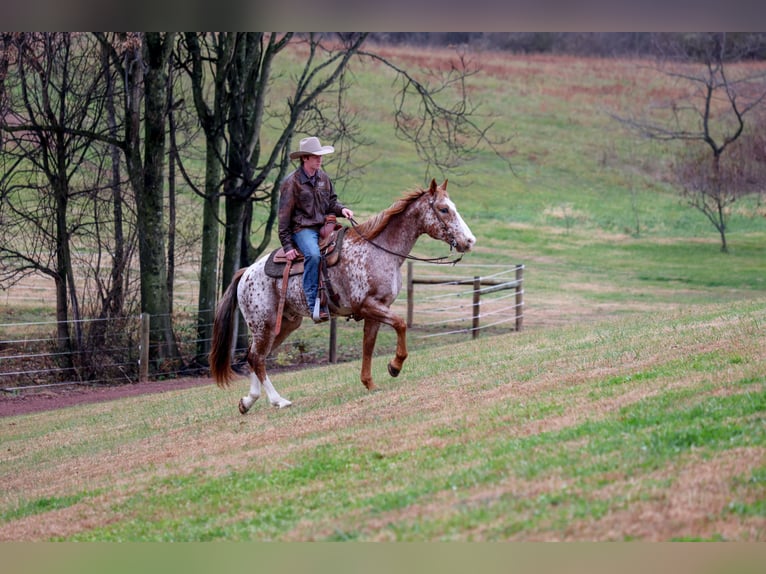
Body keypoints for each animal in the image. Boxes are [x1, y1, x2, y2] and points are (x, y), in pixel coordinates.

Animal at [209, 179, 476, 414]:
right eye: (444, 209)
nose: (469, 241)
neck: (378, 250)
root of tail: (246, 272)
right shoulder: (368, 305)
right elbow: (400, 324)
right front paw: (394, 366)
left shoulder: (376, 310)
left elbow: (368, 345)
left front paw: (369, 383)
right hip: (264, 324)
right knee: (257, 357)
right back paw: (278, 401)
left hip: (284, 324)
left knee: (255, 356)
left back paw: (248, 401)